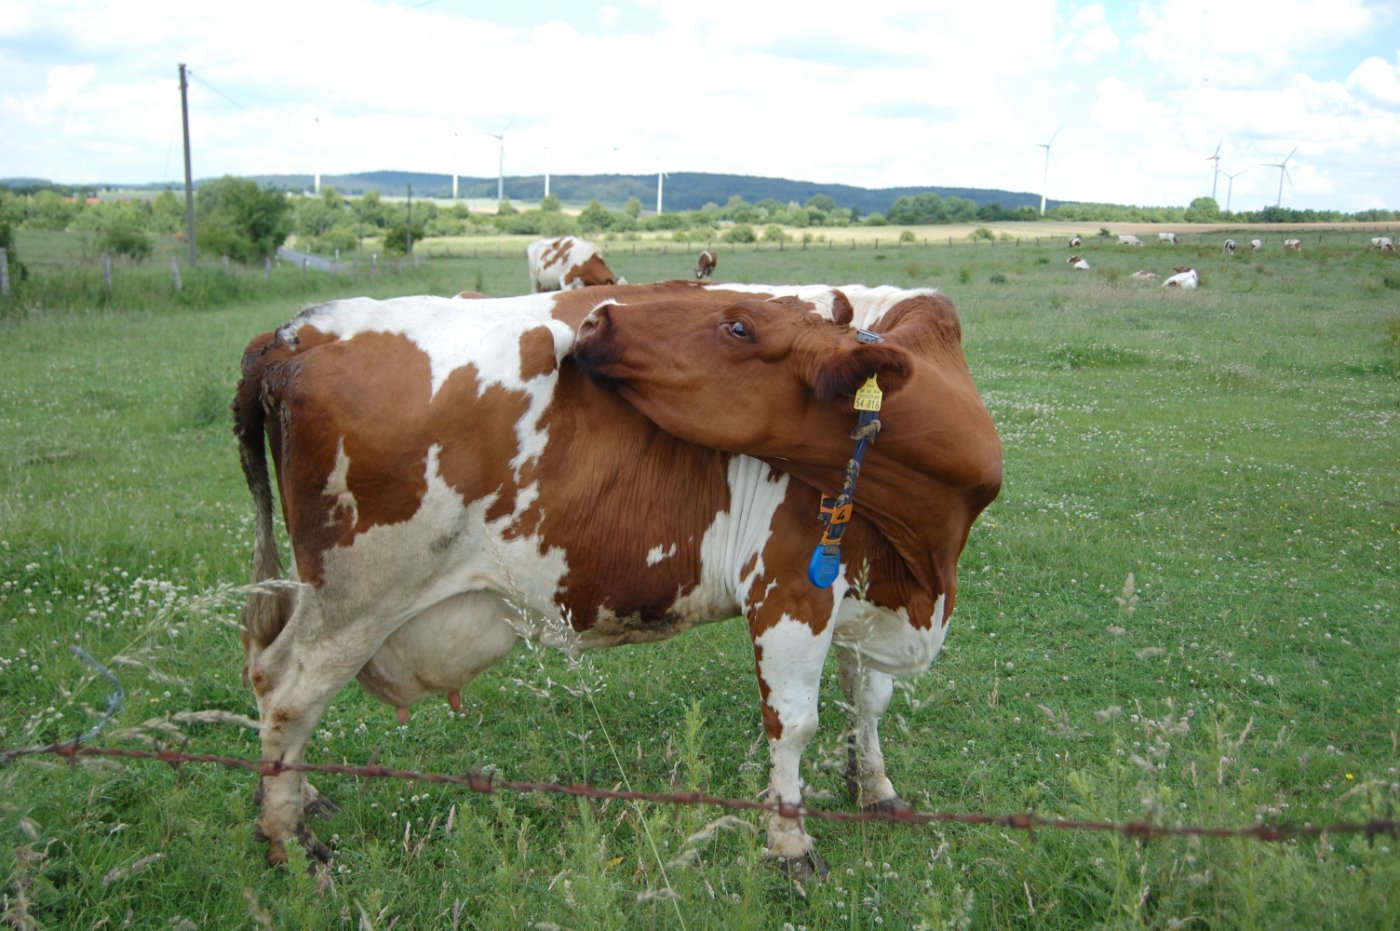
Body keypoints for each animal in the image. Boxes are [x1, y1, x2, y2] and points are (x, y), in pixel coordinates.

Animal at [233, 280, 1002, 879]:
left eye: (738, 324)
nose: (597, 319)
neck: (923, 553)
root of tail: (298, 330)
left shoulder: (861, 591)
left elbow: (866, 698)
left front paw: (875, 788)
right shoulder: (789, 588)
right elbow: (794, 722)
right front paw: (790, 845)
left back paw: (299, 799)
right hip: (354, 598)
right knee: (285, 690)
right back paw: (290, 840)